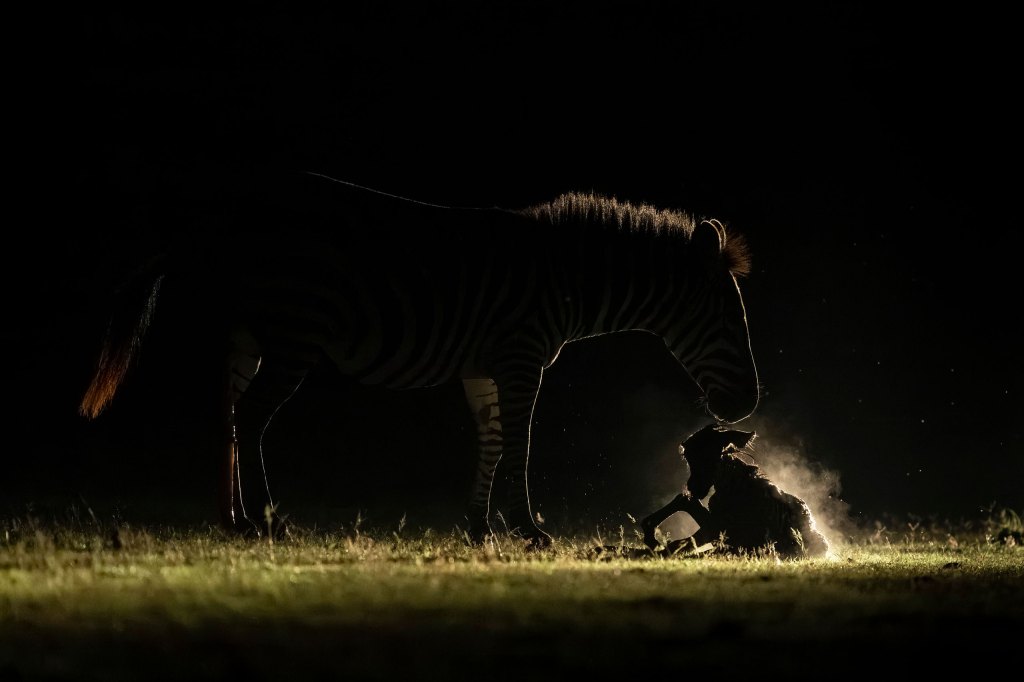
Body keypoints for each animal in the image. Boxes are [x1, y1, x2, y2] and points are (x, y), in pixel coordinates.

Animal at [78, 172, 760, 547]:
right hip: (294, 335)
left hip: (246, 336)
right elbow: (519, 443)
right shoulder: (520, 357)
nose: (751, 403)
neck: (566, 281)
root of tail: (229, 219)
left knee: (227, 417)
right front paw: (528, 529)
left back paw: (232, 519)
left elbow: (490, 442)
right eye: (730, 321)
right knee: (250, 419)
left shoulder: (485, 366)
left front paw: (480, 529)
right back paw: (265, 522)